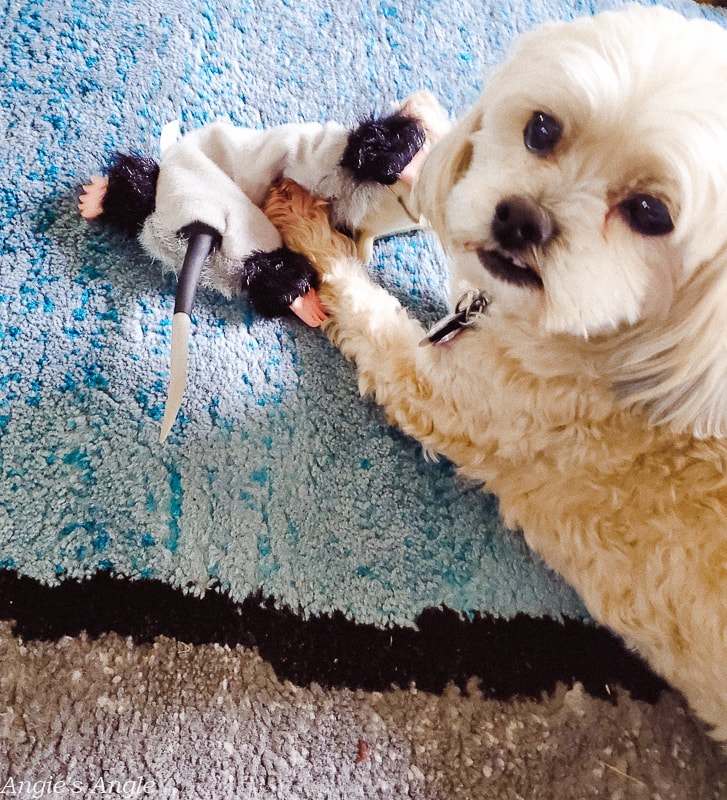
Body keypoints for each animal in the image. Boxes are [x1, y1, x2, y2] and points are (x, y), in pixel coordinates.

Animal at [268, 6, 727, 744]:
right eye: (541, 128)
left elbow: (363, 307)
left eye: (651, 214)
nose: (521, 218)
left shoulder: (454, 396)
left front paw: (307, 225)